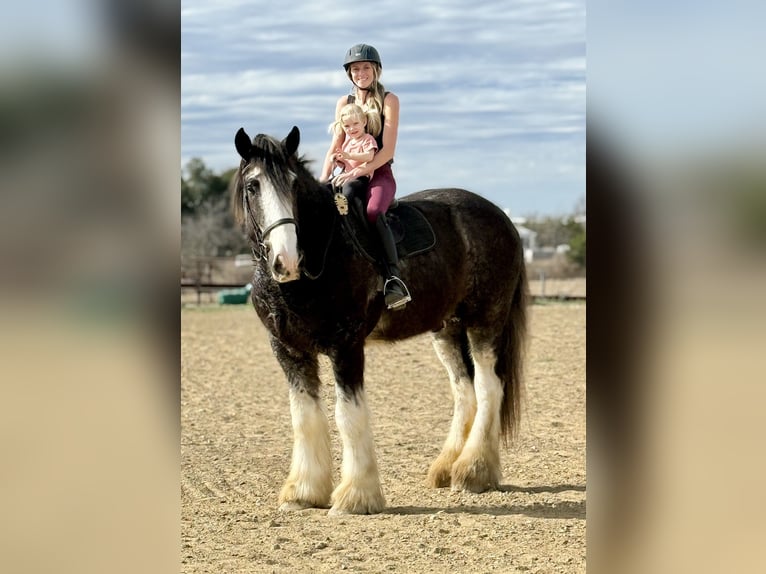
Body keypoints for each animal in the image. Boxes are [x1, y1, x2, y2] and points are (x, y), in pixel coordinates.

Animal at [232, 125, 528, 515]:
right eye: (253, 186)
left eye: (293, 185)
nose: (287, 260)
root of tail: (502, 219)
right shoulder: (289, 350)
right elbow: (305, 417)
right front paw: (304, 492)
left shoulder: (346, 346)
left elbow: (348, 414)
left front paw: (357, 495)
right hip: (447, 329)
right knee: (465, 391)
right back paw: (449, 467)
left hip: (485, 320)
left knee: (488, 387)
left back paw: (473, 471)